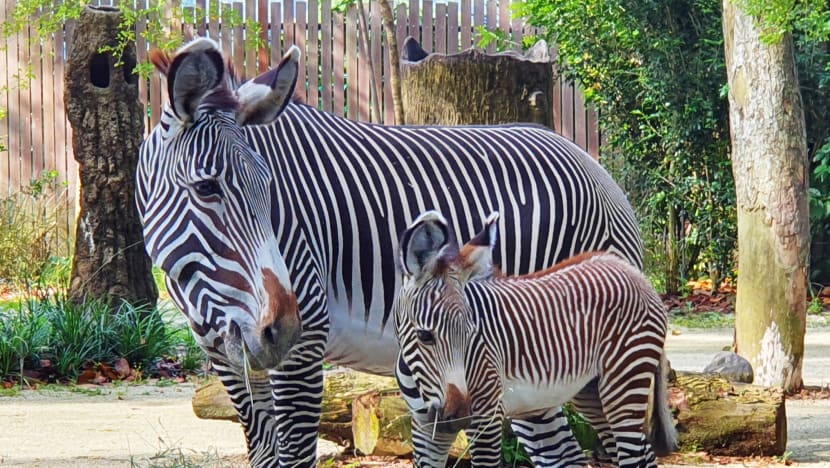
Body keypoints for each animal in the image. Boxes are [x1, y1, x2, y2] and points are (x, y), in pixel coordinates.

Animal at [136, 38, 645, 467]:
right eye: (206, 188)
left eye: (271, 190)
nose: (281, 330)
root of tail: (592, 162)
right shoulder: (227, 357)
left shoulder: (302, 351)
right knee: (564, 454)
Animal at [392, 210, 677, 467]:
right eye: (424, 336)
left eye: (472, 334)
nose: (459, 418)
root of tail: (632, 271)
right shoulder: (425, 427)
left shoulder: (487, 416)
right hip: (592, 391)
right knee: (643, 454)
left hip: (625, 380)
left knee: (633, 455)